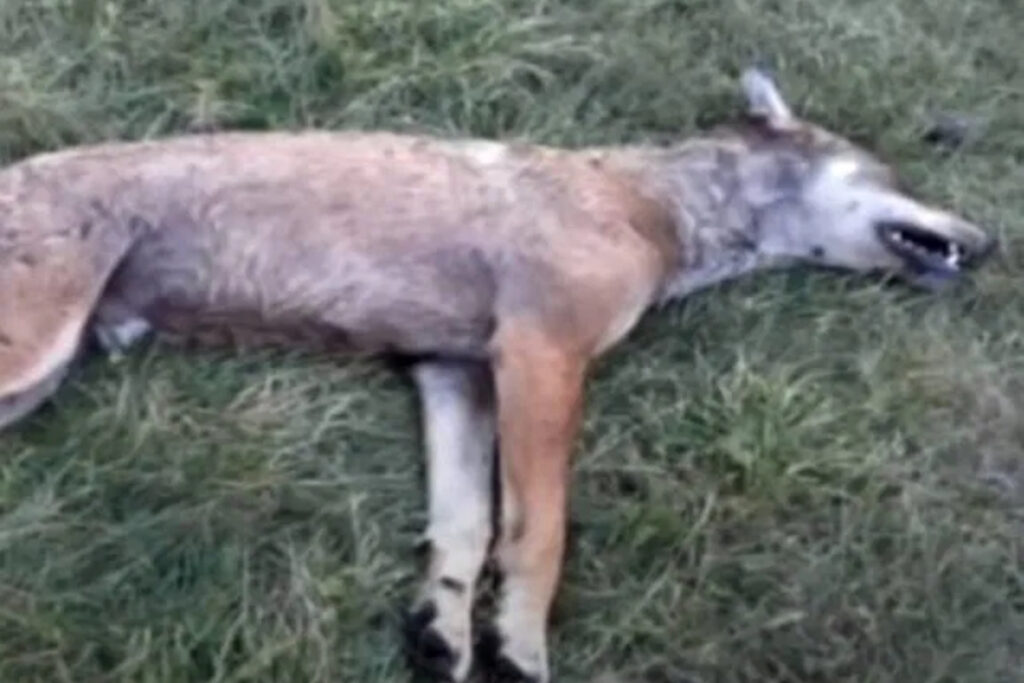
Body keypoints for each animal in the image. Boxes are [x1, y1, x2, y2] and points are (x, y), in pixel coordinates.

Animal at [0, 69, 995, 682]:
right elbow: (539, 533)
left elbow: (465, 527)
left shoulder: (455, 374)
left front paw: (443, 632)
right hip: (32, 357)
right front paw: (519, 646)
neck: (650, 206)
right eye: (888, 169)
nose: (988, 243)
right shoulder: (540, 356)